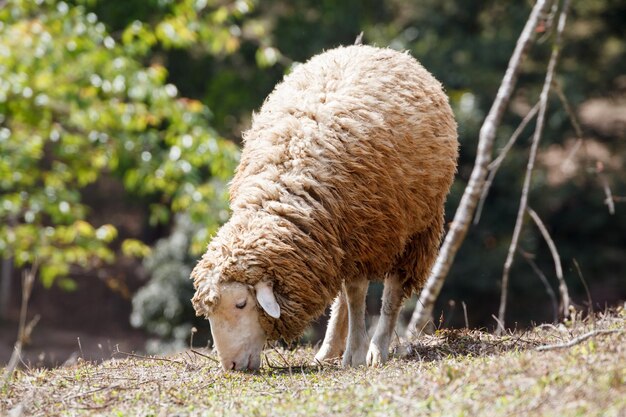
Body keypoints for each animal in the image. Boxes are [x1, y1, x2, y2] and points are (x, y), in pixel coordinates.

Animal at [188, 44, 456, 370]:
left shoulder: (362, 232)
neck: (283, 193)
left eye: (241, 303)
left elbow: (358, 296)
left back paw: (377, 348)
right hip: (339, 244)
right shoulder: (337, 238)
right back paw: (329, 350)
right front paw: (347, 349)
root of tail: (375, 48)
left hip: (416, 226)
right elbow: (350, 295)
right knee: (342, 295)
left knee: (393, 289)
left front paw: (357, 353)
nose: (232, 367)